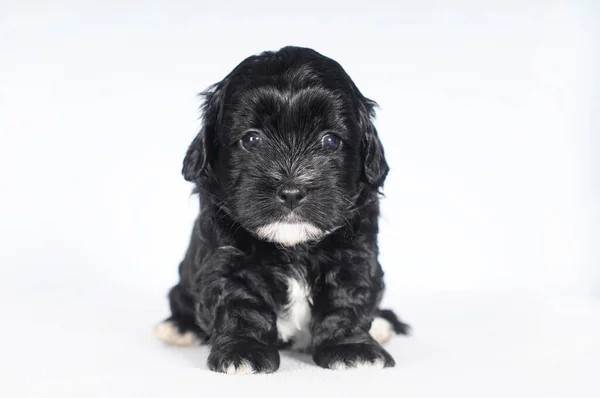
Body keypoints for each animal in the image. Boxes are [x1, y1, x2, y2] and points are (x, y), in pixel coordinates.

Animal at [154, 46, 408, 374]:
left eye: (330, 140)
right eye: (251, 139)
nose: (291, 192)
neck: (293, 246)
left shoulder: (356, 251)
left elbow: (348, 297)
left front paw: (352, 348)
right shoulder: (225, 257)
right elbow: (240, 303)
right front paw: (244, 351)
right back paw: (179, 327)